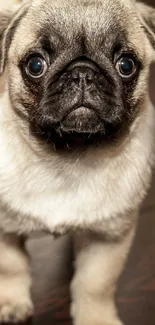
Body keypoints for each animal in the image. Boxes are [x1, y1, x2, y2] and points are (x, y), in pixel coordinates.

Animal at [0, 0, 154, 322]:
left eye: (126, 65)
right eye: (35, 65)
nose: (82, 73)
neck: (68, 157)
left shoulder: (108, 238)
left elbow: (95, 283)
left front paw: (96, 318)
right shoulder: (5, 229)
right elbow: (10, 266)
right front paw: (11, 302)